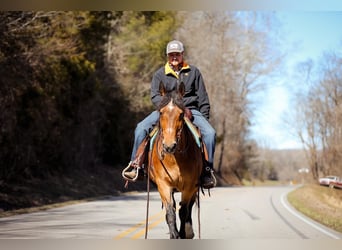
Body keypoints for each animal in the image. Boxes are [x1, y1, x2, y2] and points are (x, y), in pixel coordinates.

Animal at [148, 81, 203, 238]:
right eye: (161, 112)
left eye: (181, 114)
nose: (169, 146)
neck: (174, 159)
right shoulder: (163, 185)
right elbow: (170, 213)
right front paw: (174, 235)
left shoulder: (189, 186)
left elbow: (183, 212)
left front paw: (185, 233)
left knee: (188, 208)